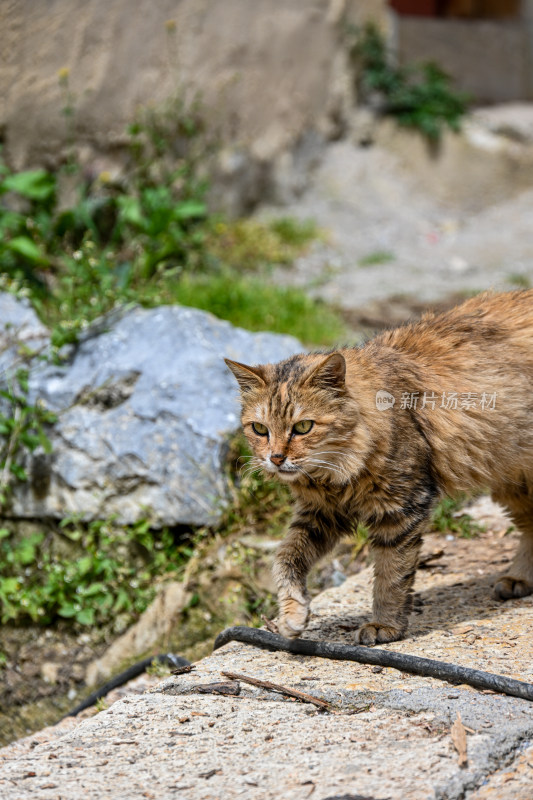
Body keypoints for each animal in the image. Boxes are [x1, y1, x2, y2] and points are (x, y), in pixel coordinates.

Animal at [223, 290, 532, 648]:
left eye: (302, 427)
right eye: (259, 429)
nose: (274, 458)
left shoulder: (399, 510)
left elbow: (390, 575)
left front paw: (385, 625)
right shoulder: (320, 514)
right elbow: (285, 559)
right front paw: (292, 615)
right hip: (512, 482)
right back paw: (519, 579)